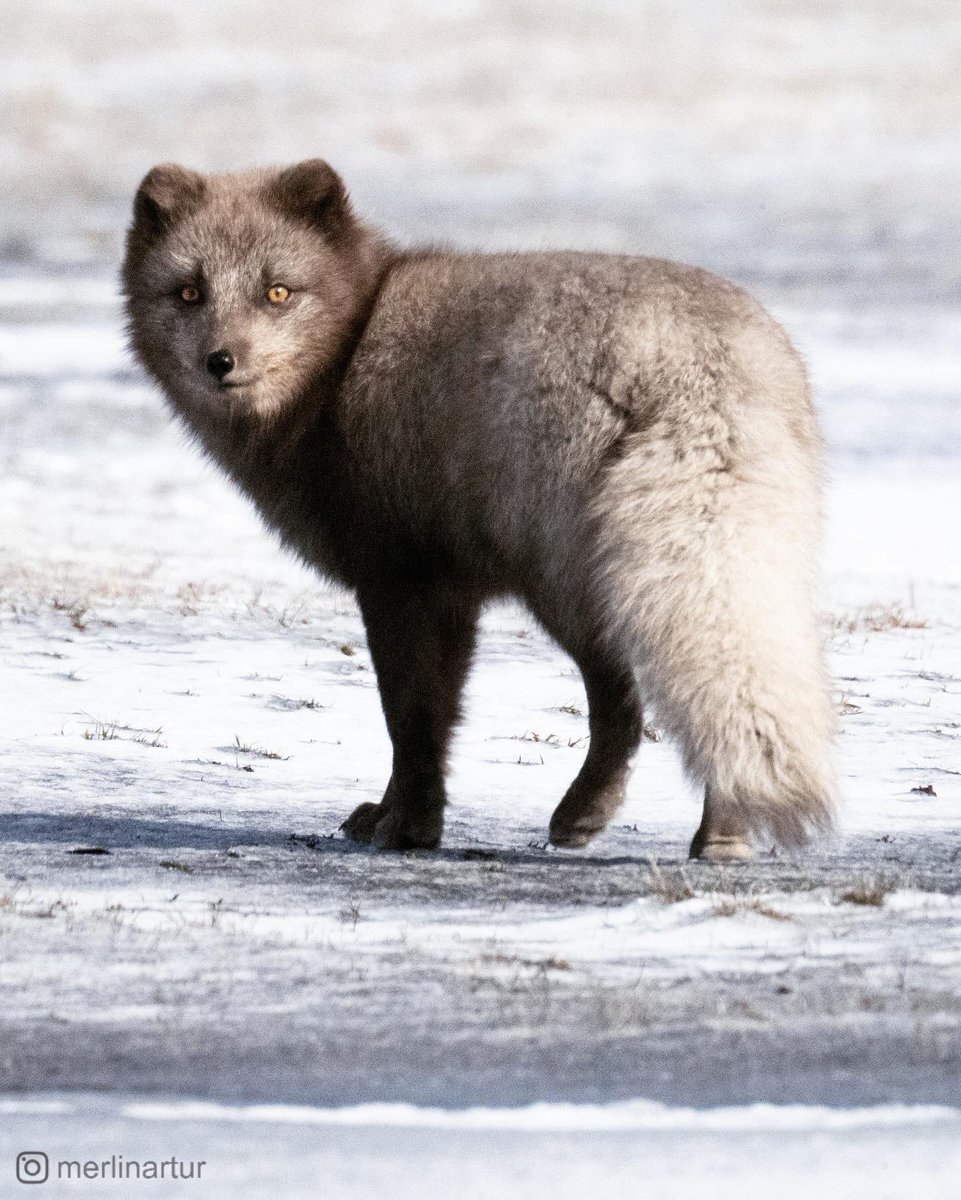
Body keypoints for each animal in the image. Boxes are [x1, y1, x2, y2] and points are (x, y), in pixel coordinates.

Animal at [125, 159, 830, 864]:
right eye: (189, 293)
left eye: (277, 293)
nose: (221, 362)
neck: (341, 362)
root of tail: (693, 368)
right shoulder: (448, 591)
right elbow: (426, 718)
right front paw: (387, 814)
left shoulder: (406, 581)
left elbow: (414, 718)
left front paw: (410, 826)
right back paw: (696, 829)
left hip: (567, 576)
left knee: (625, 699)